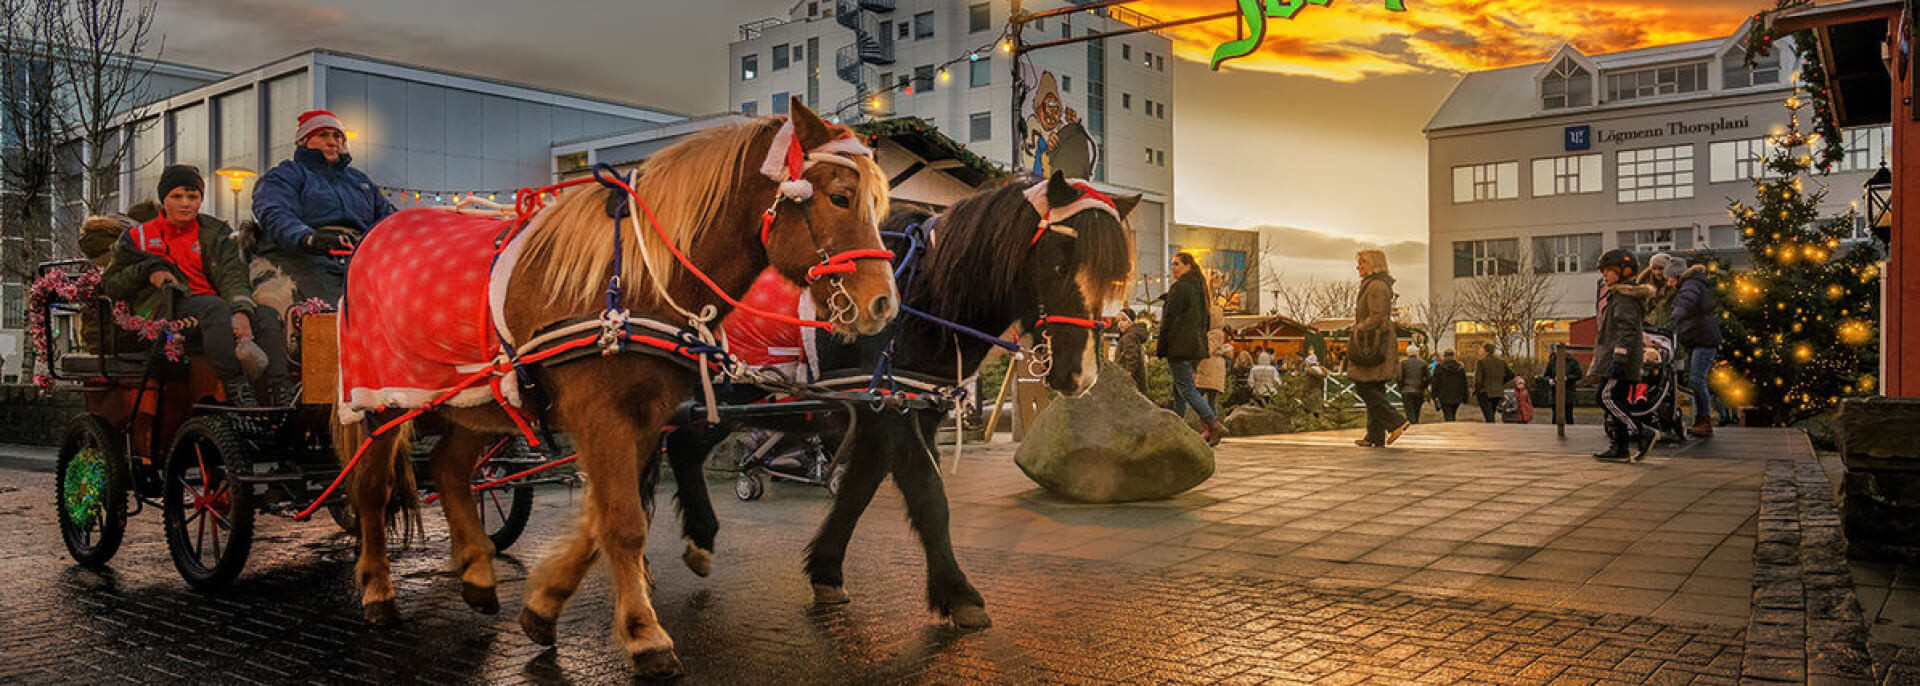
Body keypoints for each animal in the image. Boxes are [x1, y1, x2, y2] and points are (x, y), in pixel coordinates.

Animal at [334, 102, 894, 680]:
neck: (635, 280)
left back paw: (477, 574)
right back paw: (378, 589)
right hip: (381, 401)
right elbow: (623, 522)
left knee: (448, 468)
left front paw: (544, 607)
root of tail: (369, 238)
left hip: (477, 402)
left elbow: (603, 516)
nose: (882, 303)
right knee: (371, 489)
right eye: (840, 197)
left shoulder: (643, 417)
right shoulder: (600, 413)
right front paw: (644, 634)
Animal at [664, 171, 1128, 626]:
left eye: (1113, 278)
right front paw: (958, 593)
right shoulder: (893, 414)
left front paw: (827, 570)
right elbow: (929, 496)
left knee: (684, 447)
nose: (1080, 373)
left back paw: (701, 537)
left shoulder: (896, 411)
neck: (920, 298)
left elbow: (857, 492)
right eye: (1059, 261)